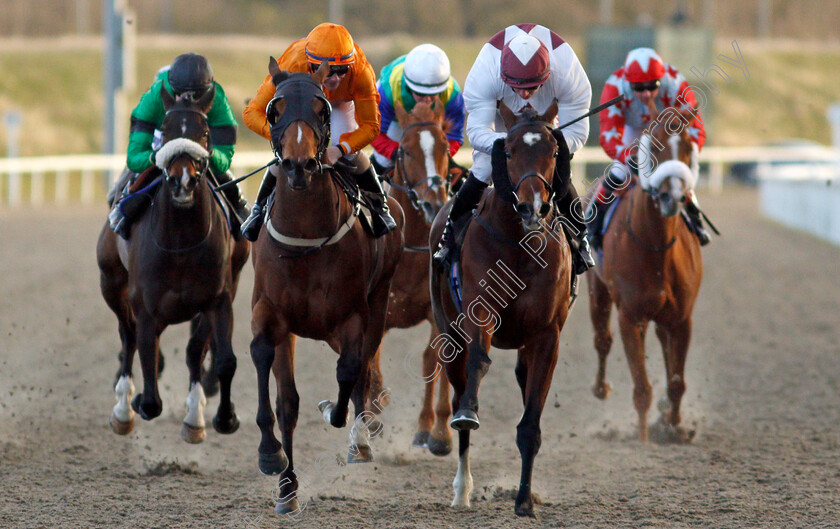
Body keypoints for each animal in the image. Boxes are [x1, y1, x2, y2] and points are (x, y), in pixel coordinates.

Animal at [99, 85, 249, 442]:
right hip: (111, 282)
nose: (184, 181)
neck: (180, 241)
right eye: (165, 131)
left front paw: (213, 417)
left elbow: (217, 357)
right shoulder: (145, 305)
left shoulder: (217, 298)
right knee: (128, 336)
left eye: (205, 132)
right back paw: (123, 409)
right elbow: (147, 360)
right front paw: (137, 402)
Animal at [248, 59, 406, 512]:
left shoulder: (353, 316)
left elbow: (349, 376)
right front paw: (279, 470)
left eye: (321, 110)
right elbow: (282, 396)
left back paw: (362, 439)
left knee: (363, 373)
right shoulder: (269, 312)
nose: (299, 165)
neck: (305, 236)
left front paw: (342, 421)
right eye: (276, 109)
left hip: (375, 305)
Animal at [430, 102, 576, 516]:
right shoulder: (480, 315)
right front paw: (469, 412)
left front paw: (525, 500)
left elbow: (530, 422)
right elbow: (479, 363)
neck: (519, 245)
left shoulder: (546, 335)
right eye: (508, 151)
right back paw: (461, 490)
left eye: (554, 151)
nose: (532, 206)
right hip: (448, 332)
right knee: (459, 392)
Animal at [588, 99, 704, 442]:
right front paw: (642, 439)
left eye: (688, 147)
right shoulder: (630, 316)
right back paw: (601, 388)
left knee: (664, 346)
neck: (657, 250)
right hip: (597, 290)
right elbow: (641, 388)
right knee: (602, 340)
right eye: (654, 145)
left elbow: (677, 381)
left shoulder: (682, 318)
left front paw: (674, 425)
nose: (672, 197)